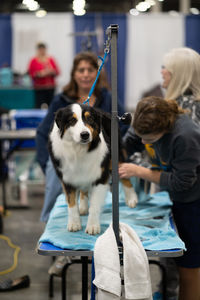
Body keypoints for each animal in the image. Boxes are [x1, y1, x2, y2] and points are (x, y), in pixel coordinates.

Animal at [48, 103, 138, 234]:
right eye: (72, 120)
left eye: (89, 118)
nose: (85, 134)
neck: (78, 149)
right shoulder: (66, 178)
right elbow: (71, 203)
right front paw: (74, 223)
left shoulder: (100, 176)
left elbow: (95, 205)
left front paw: (93, 226)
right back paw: (83, 206)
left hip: (115, 157)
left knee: (125, 176)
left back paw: (132, 198)